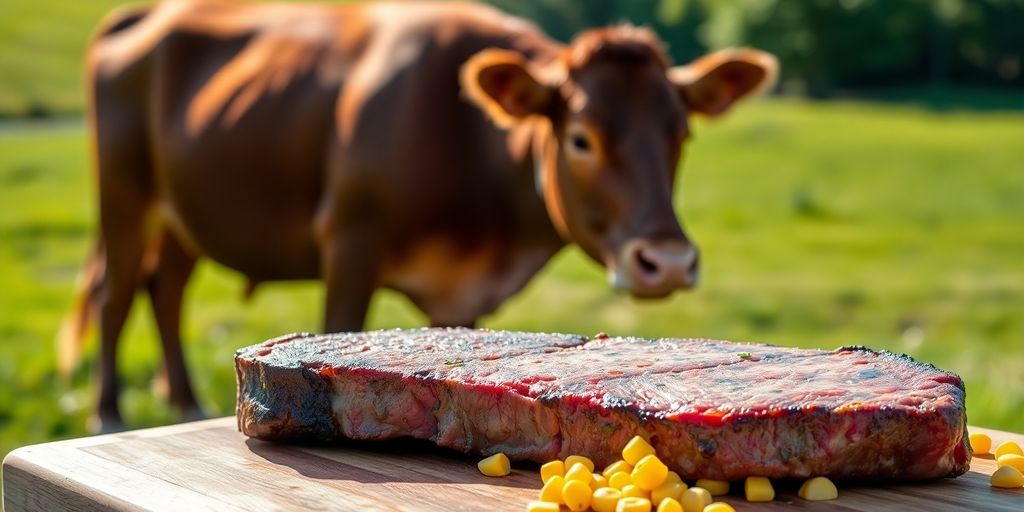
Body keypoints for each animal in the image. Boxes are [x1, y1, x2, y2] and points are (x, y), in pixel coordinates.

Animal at [63, 0, 777, 431]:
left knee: (164, 288)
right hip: (123, 195)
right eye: (581, 138)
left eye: (681, 133)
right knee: (116, 292)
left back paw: (184, 404)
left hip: (184, 213)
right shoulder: (349, 242)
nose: (668, 263)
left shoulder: (463, 293)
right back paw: (109, 413)